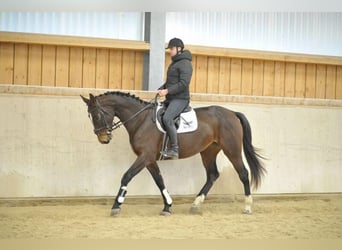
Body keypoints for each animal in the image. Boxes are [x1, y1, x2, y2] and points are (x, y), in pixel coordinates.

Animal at [81, 91, 266, 216]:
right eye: (90, 115)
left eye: (98, 114)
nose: (103, 139)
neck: (141, 120)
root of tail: (232, 113)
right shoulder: (149, 159)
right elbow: (159, 181)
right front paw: (167, 206)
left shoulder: (145, 156)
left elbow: (127, 176)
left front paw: (116, 205)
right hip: (208, 151)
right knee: (212, 175)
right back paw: (196, 204)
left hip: (232, 149)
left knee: (243, 173)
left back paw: (247, 207)